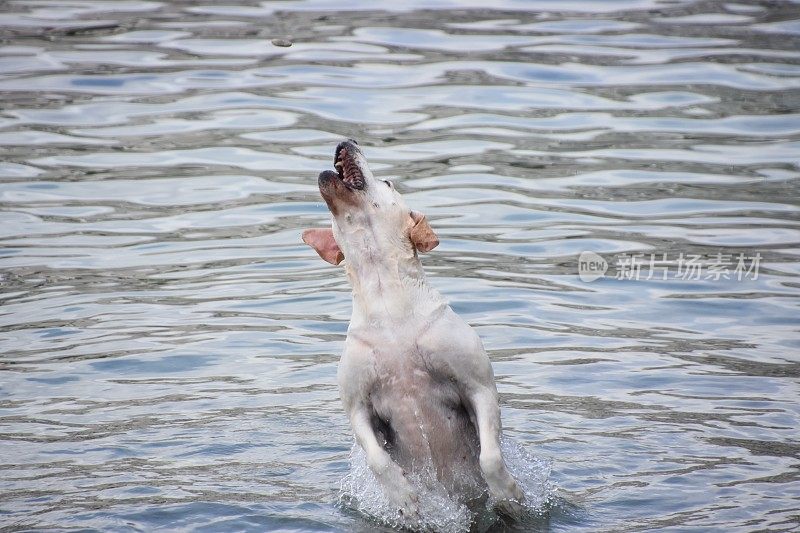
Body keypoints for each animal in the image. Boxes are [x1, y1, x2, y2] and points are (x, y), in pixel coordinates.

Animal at [304, 140, 520, 516]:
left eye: (388, 182)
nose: (345, 141)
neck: (388, 305)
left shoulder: (478, 387)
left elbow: (491, 457)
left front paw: (509, 494)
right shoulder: (358, 406)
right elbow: (377, 460)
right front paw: (402, 497)